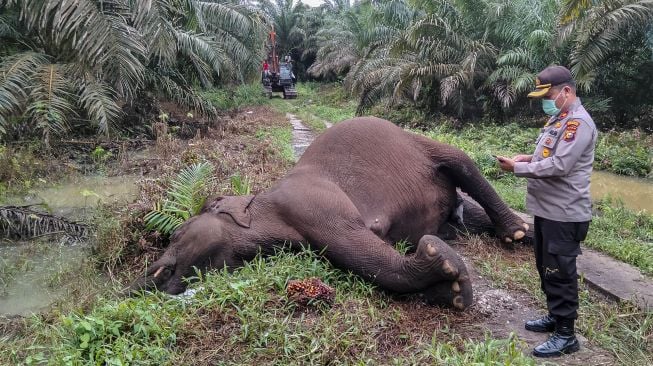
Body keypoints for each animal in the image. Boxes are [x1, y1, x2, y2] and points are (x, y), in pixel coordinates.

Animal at [129, 116, 528, 308]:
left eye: (177, 234)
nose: (134, 290)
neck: (263, 203)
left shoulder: (309, 203)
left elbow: (362, 249)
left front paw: (438, 260)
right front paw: (450, 291)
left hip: (422, 144)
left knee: (460, 161)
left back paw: (515, 232)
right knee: (467, 215)